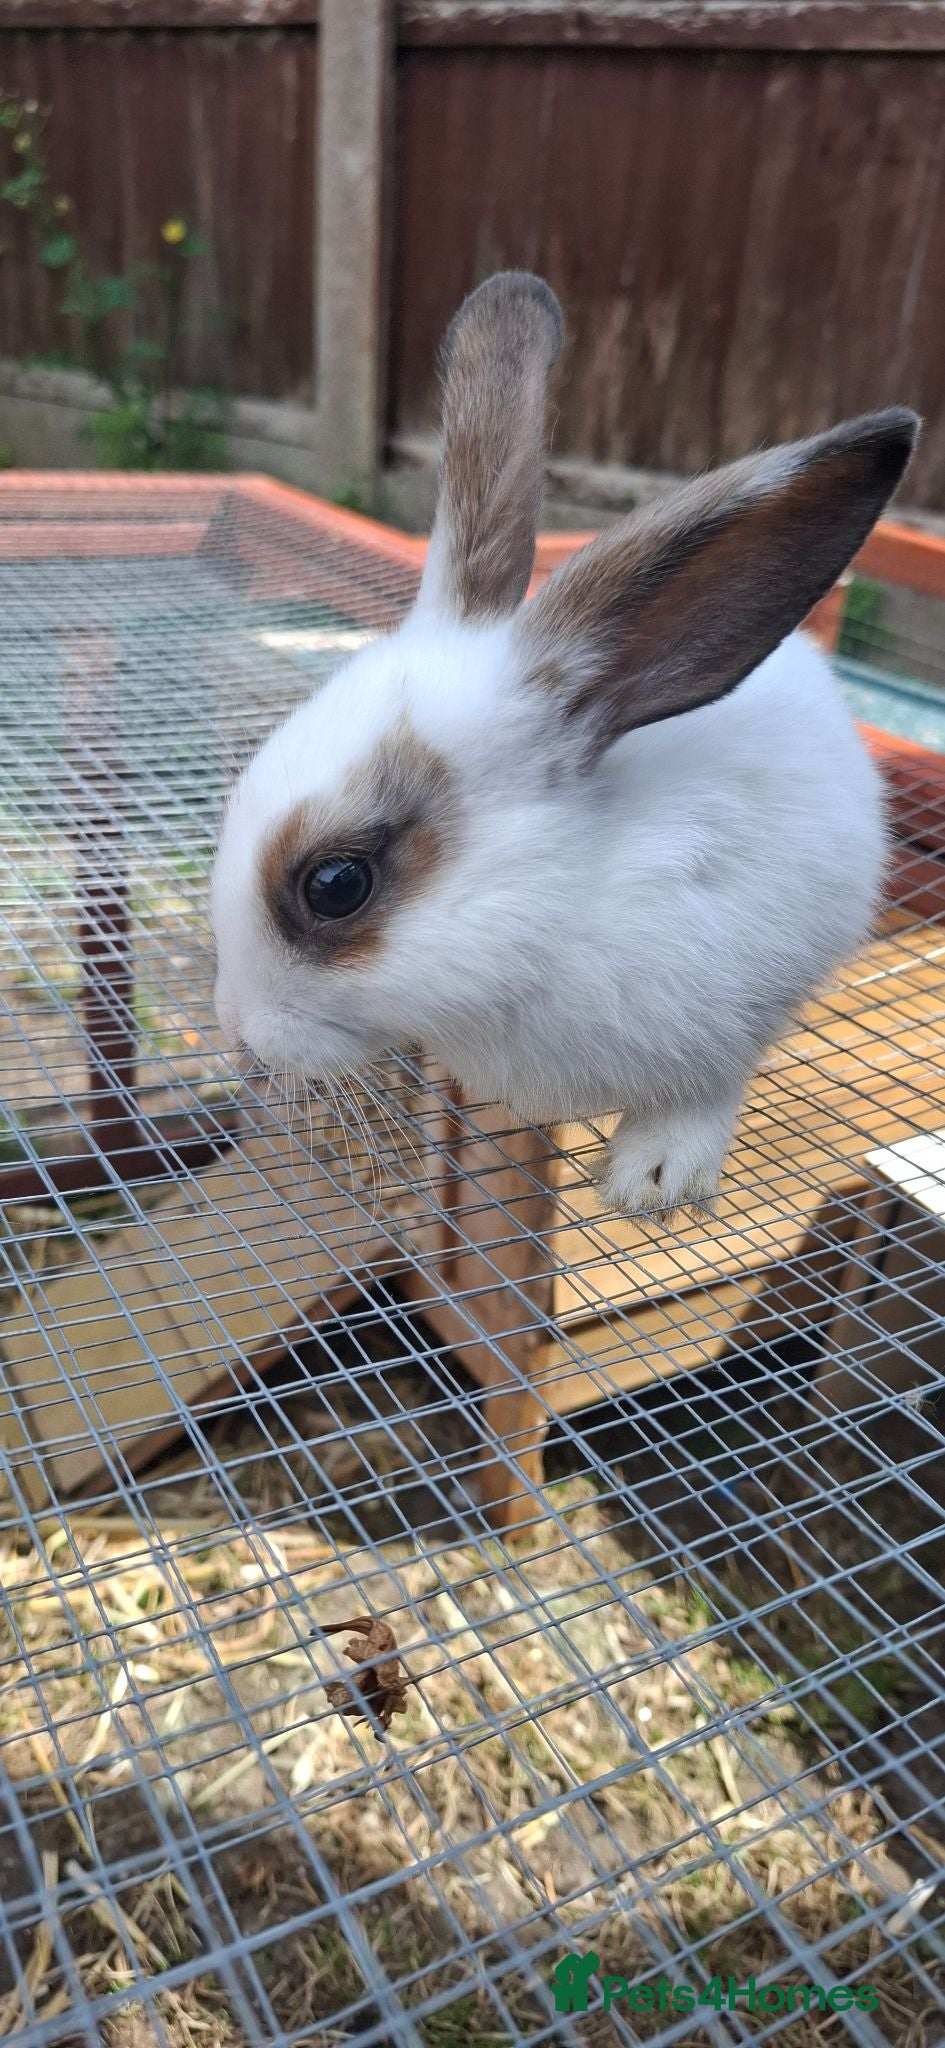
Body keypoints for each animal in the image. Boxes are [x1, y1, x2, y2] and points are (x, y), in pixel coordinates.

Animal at [211, 270, 917, 1217]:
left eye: (335, 886)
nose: (236, 1028)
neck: (553, 909)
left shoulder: (742, 987)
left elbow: (710, 1083)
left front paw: (654, 1179)